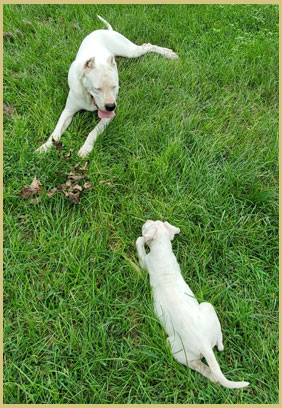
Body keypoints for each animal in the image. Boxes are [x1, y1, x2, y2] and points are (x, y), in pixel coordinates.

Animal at [36, 14, 178, 158]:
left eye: (115, 86)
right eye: (97, 88)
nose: (110, 107)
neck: (88, 96)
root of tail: (106, 31)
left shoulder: (108, 117)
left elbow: (94, 131)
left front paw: (86, 148)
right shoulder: (68, 111)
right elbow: (56, 130)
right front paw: (45, 146)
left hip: (129, 50)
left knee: (147, 46)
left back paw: (168, 53)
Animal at [137, 220, 249, 388]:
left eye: (148, 226)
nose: (147, 220)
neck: (163, 248)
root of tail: (204, 344)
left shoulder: (145, 263)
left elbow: (140, 250)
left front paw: (140, 240)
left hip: (173, 346)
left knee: (196, 364)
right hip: (207, 307)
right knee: (210, 356)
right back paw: (217, 356)